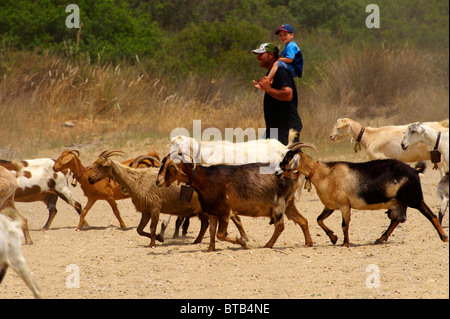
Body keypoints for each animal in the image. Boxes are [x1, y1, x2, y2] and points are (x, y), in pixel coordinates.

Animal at [86, 151, 248, 249]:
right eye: (93, 164)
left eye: (101, 165)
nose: (90, 178)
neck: (137, 180)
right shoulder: (146, 211)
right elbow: (139, 230)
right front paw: (159, 238)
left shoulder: (155, 208)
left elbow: (152, 227)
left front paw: (153, 243)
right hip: (202, 209)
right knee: (206, 224)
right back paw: (198, 240)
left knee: (233, 218)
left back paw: (243, 238)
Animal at [155, 152, 312, 252]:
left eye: (171, 166)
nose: (158, 182)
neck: (207, 179)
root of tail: (293, 173)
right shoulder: (213, 212)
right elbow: (212, 231)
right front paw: (210, 249)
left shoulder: (225, 212)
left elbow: (220, 234)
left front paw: (243, 242)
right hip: (289, 204)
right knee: (303, 220)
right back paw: (308, 243)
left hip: (279, 204)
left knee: (280, 226)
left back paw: (267, 245)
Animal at [276, 144, 448, 249]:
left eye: (287, 158)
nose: (277, 173)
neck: (325, 174)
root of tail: (415, 171)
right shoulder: (330, 206)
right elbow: (319, 219)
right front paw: (333, 238)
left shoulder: (344, 205)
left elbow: (344, 224)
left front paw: (345, 243)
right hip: (397, 203)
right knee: (396, 220)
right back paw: (380, 239)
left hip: (414, 199)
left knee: (431, 215)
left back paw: (444, 237)